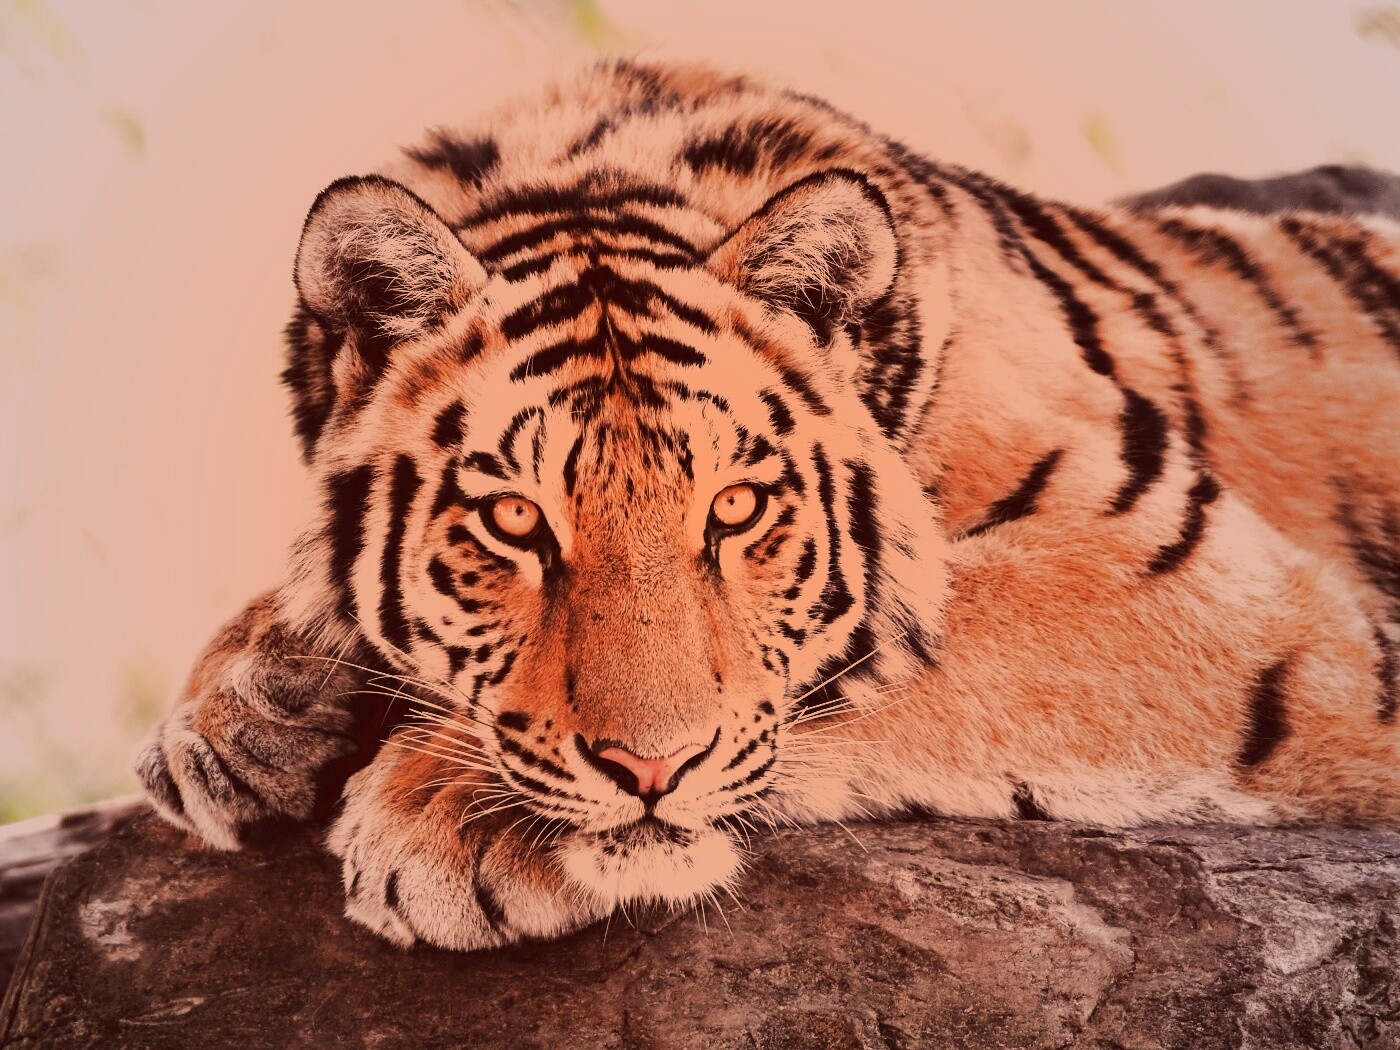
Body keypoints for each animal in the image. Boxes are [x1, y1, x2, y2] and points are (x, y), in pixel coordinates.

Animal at [134, 60, 1400, 953]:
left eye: (735, 509)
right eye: (515, 521)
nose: (646, 777)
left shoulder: (1198, 575)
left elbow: (874, 649)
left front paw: (449, 813)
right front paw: (240, 710)